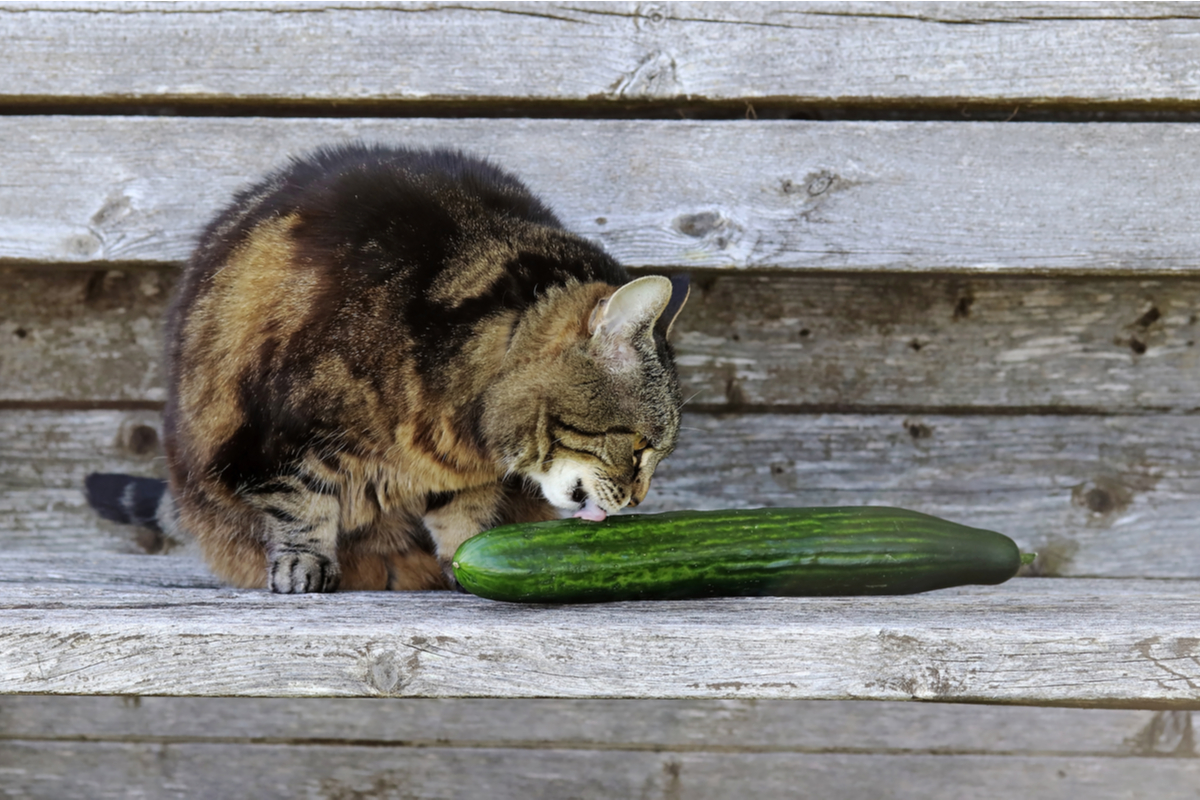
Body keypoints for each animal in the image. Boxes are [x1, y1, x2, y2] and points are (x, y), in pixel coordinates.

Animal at [84, 143, 691, 594]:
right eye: (639, 448)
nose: (639, 501)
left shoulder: (458, 473)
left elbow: (463, 517)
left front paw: (467, 557)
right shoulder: (275, 435)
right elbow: (299, 501)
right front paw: (304, 563)